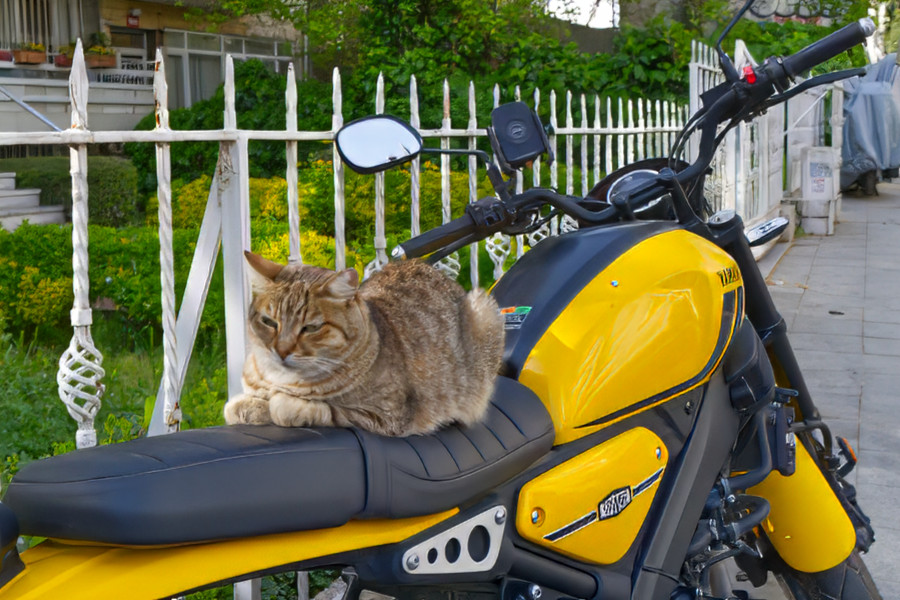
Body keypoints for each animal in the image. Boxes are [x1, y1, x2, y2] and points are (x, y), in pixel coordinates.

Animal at [223, 252, 505, 436]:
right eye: (269, 322)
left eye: (311, 328)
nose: (281, 350)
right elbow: (240, 405)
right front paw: (249, 405)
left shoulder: (384, 415)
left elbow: (313, 409)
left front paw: (281, 404)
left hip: (484, 312)